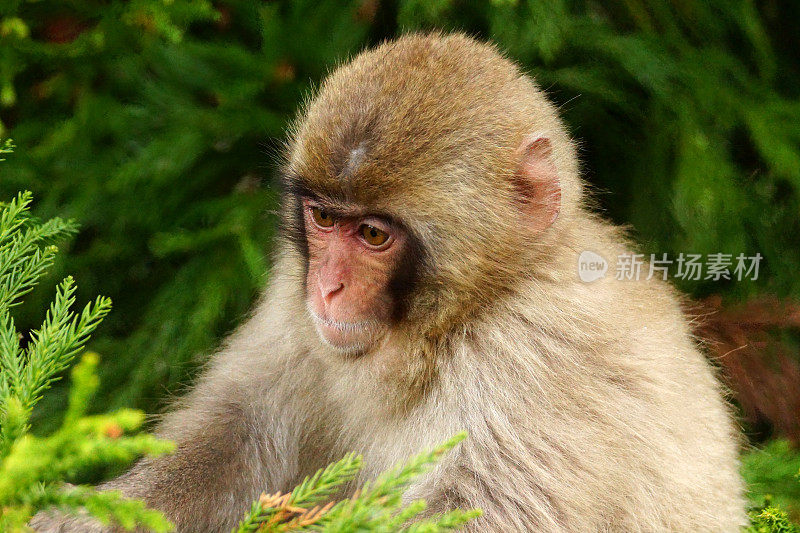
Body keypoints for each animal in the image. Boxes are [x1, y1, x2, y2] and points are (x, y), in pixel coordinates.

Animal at [31, 33, 744, 532]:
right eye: (325, 219)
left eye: (374, 235)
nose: (327, 289)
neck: (451, 320)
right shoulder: (291, 298)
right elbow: (241, 431)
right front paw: (80, 517)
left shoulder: (534, 352)